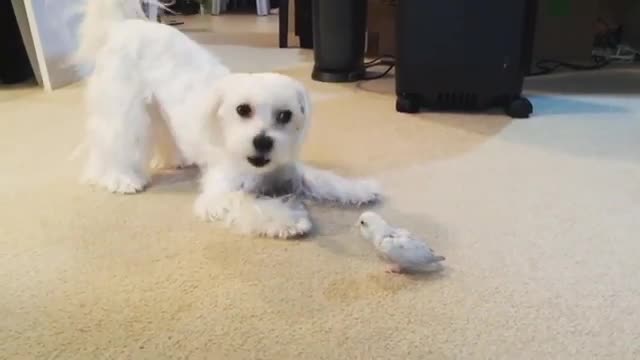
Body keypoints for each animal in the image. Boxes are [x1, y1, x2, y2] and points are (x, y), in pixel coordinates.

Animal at [77, 0, 382, 239]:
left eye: (285, 115)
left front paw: (359, 188)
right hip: (124, 108)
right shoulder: (220, 194)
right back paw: (121, 178)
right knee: (114, 143)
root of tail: (124, 25)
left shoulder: (290, 171)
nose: (262, 142)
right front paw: (290, 219)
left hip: (158, 109)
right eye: (242, 110)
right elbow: (252, 204)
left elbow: (324, 180)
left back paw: (175, 160)